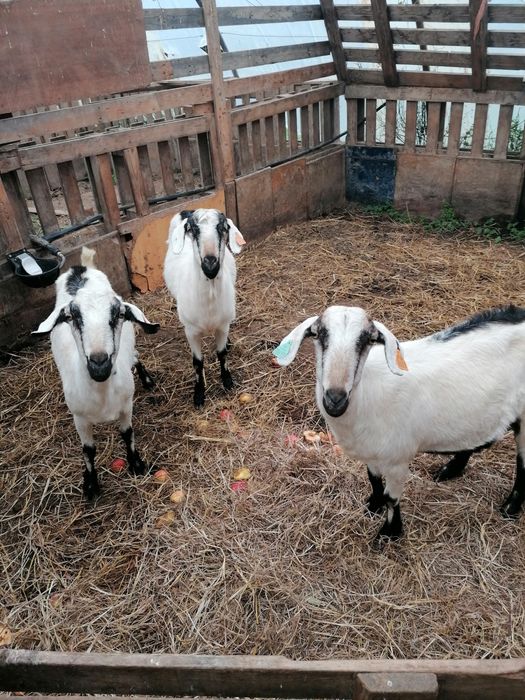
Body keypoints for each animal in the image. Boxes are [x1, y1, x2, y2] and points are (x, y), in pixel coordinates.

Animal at [33, 247, 159, 499]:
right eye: (72, 317)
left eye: (119, 314)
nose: (99, 363)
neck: (102, 392)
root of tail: (80, 269)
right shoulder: (79, 418)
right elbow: (88, 450)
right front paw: (91, 485)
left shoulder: (126, 405)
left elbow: (127, 433)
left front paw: (136, 465)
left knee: (135, 356)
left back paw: (147, 380)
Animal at [163, 208, 245, 407]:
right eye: (193, 229)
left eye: (222, 228)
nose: (210, 265)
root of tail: (187, 210)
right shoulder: (191, 331)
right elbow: (197, 362)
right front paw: (199, 395)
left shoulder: (223, 324)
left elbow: (222, 354)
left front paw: (227, 381)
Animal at [274, 304, 525, 543]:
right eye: (319, 335)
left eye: (368, 340)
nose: (335, 400)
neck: (365, 397)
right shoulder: (372, 452)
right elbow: (374, 480)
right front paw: (372, 507)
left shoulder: (398, 457)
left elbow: (391, 497)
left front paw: (389, 533)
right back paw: (451, 469)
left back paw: (511, 508)